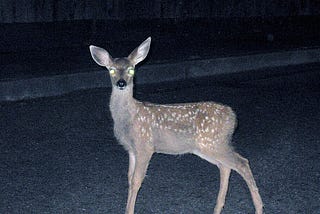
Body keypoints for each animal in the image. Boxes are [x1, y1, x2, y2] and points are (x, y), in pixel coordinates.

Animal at [89, 37, 262, 213]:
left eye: (131, 70)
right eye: (111, 70)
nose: (121, 83)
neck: (128, 118)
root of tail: (233, 117)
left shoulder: (145, 145)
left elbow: (137, 181)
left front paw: (130, 210)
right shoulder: (131, 149)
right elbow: (130, 179)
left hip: (213, 143)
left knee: (242, 163)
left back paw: (259, 208)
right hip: (207, 146)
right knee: (226, 167)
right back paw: (218, 208)